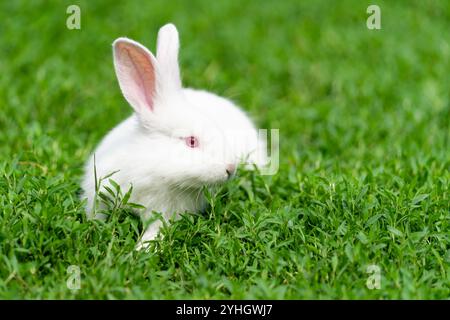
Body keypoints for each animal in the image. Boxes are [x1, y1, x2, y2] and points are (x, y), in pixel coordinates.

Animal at [81, 24, 264, 250]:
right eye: (191, 141)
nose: (231, 169)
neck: (150, 170)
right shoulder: (97, 193)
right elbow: (95, 215)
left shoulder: (164, 214)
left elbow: (155, 232)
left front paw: (139, 250)